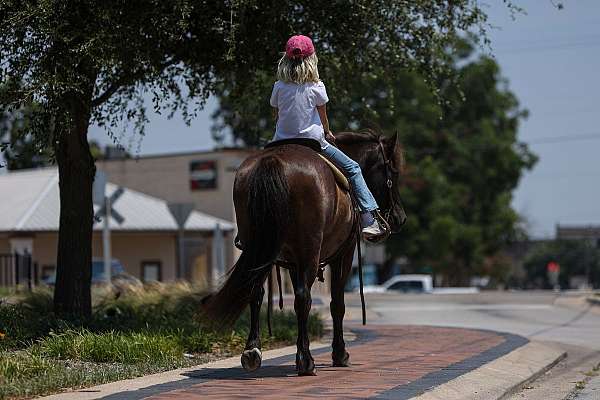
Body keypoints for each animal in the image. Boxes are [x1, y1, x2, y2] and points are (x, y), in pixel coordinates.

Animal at [204, 130, 406, 376]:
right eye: (393, 172)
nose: (400, 217)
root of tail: (272, 161)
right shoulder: (343, 254)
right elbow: (337, 303)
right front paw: (340, 354)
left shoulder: (293, 260)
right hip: (309, 250)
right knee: (302, 297)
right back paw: (306, 361)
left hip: (262, 249)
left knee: (256, 292)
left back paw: (252, 352)